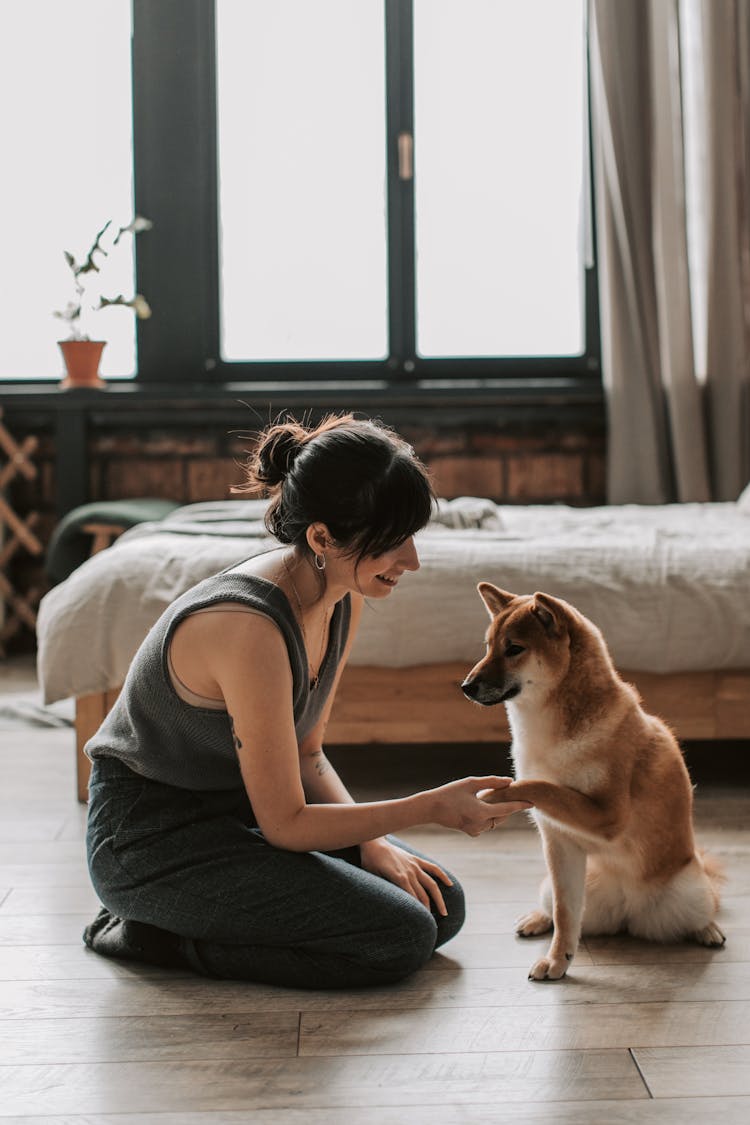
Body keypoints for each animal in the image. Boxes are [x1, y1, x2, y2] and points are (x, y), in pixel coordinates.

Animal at [461, 585, 724, 981]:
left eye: (514, 648)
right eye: (488, 646)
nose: (466, 687)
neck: (549, 732)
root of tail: (628, 912)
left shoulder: (608, 815)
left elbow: (541, 786)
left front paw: (492, 794)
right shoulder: (559, 842)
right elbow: (565, 914)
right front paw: (558, 960)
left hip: (690, 892)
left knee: (706, 907)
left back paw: (708, 930)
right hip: (554, 885)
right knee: (557, 908)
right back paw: (537, 919)